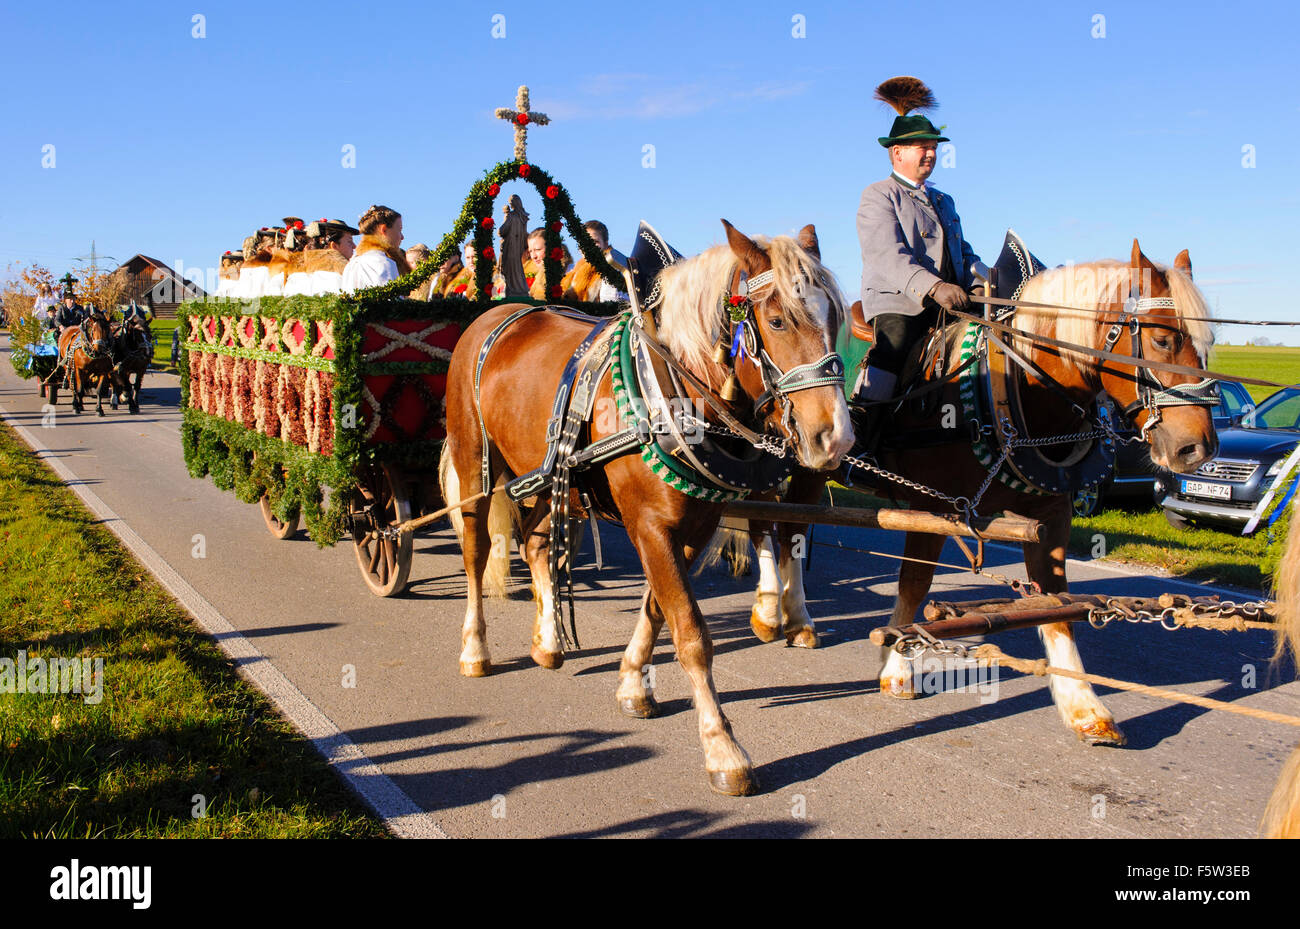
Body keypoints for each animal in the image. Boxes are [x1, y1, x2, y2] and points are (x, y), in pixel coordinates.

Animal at [439, 222, 852, 795]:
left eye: (835, 319)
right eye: (776, 320)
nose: (835, 437)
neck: (673, 387)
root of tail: (497, 316)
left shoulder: (693, 526)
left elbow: (658, 608)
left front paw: (634, 682)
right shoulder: (651, 526)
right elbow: (692, 632)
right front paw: (722, 747)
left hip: (543, 475)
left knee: (538, 545)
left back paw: (548, 640)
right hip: (473, 461)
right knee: (477, 553)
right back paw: (475, 649)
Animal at [743, 241, 1216, 748]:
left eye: (1208, 343)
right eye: (1163, 340)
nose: (1197, 448)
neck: (1008, 384)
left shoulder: (1052, 515)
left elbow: (1055, 601)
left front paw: (1085, 708)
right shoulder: (931, 508)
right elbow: (914, 585)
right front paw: (898, 668)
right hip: (808, 458)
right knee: (784, 528)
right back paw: (791, 617)